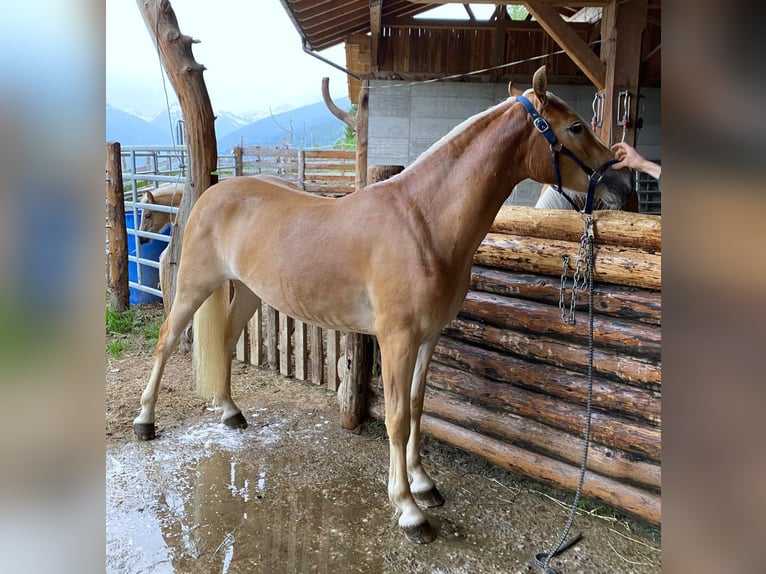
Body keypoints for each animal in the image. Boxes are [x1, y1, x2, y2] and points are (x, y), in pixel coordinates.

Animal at [135, 66, 632, 544]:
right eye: (575, 126)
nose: (623, 183)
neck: (424, 223)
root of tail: (211, 193)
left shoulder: (428, 337)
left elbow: (416, 406)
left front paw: (424, 484)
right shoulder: (397, 340)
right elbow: (395, 417)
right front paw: (409, 509)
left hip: (251, 292)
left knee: (223, 340)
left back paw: (230, 412)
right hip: (194, 286)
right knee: (165, 341)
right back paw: (145, 421)